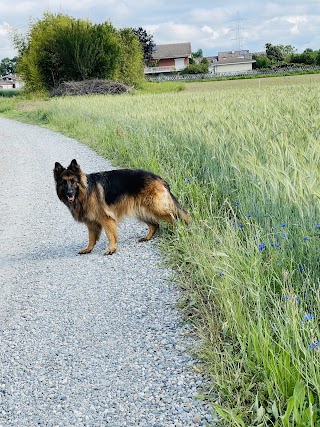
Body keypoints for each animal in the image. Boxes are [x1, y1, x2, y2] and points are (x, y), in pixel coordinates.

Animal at [53, 160, 190, 254]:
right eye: (63, 182)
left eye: (73, 181)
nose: (69, 193)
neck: (85, 191)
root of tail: (158, 178)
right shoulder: (91, 223)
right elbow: (91, 238)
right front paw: (88, 249)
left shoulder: (106, 219)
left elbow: (110, 235)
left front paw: (112, 249)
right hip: (141, 211)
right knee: (155, 225)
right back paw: (147, 238)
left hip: (155, 208)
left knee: (174, 217)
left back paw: (178, 230)